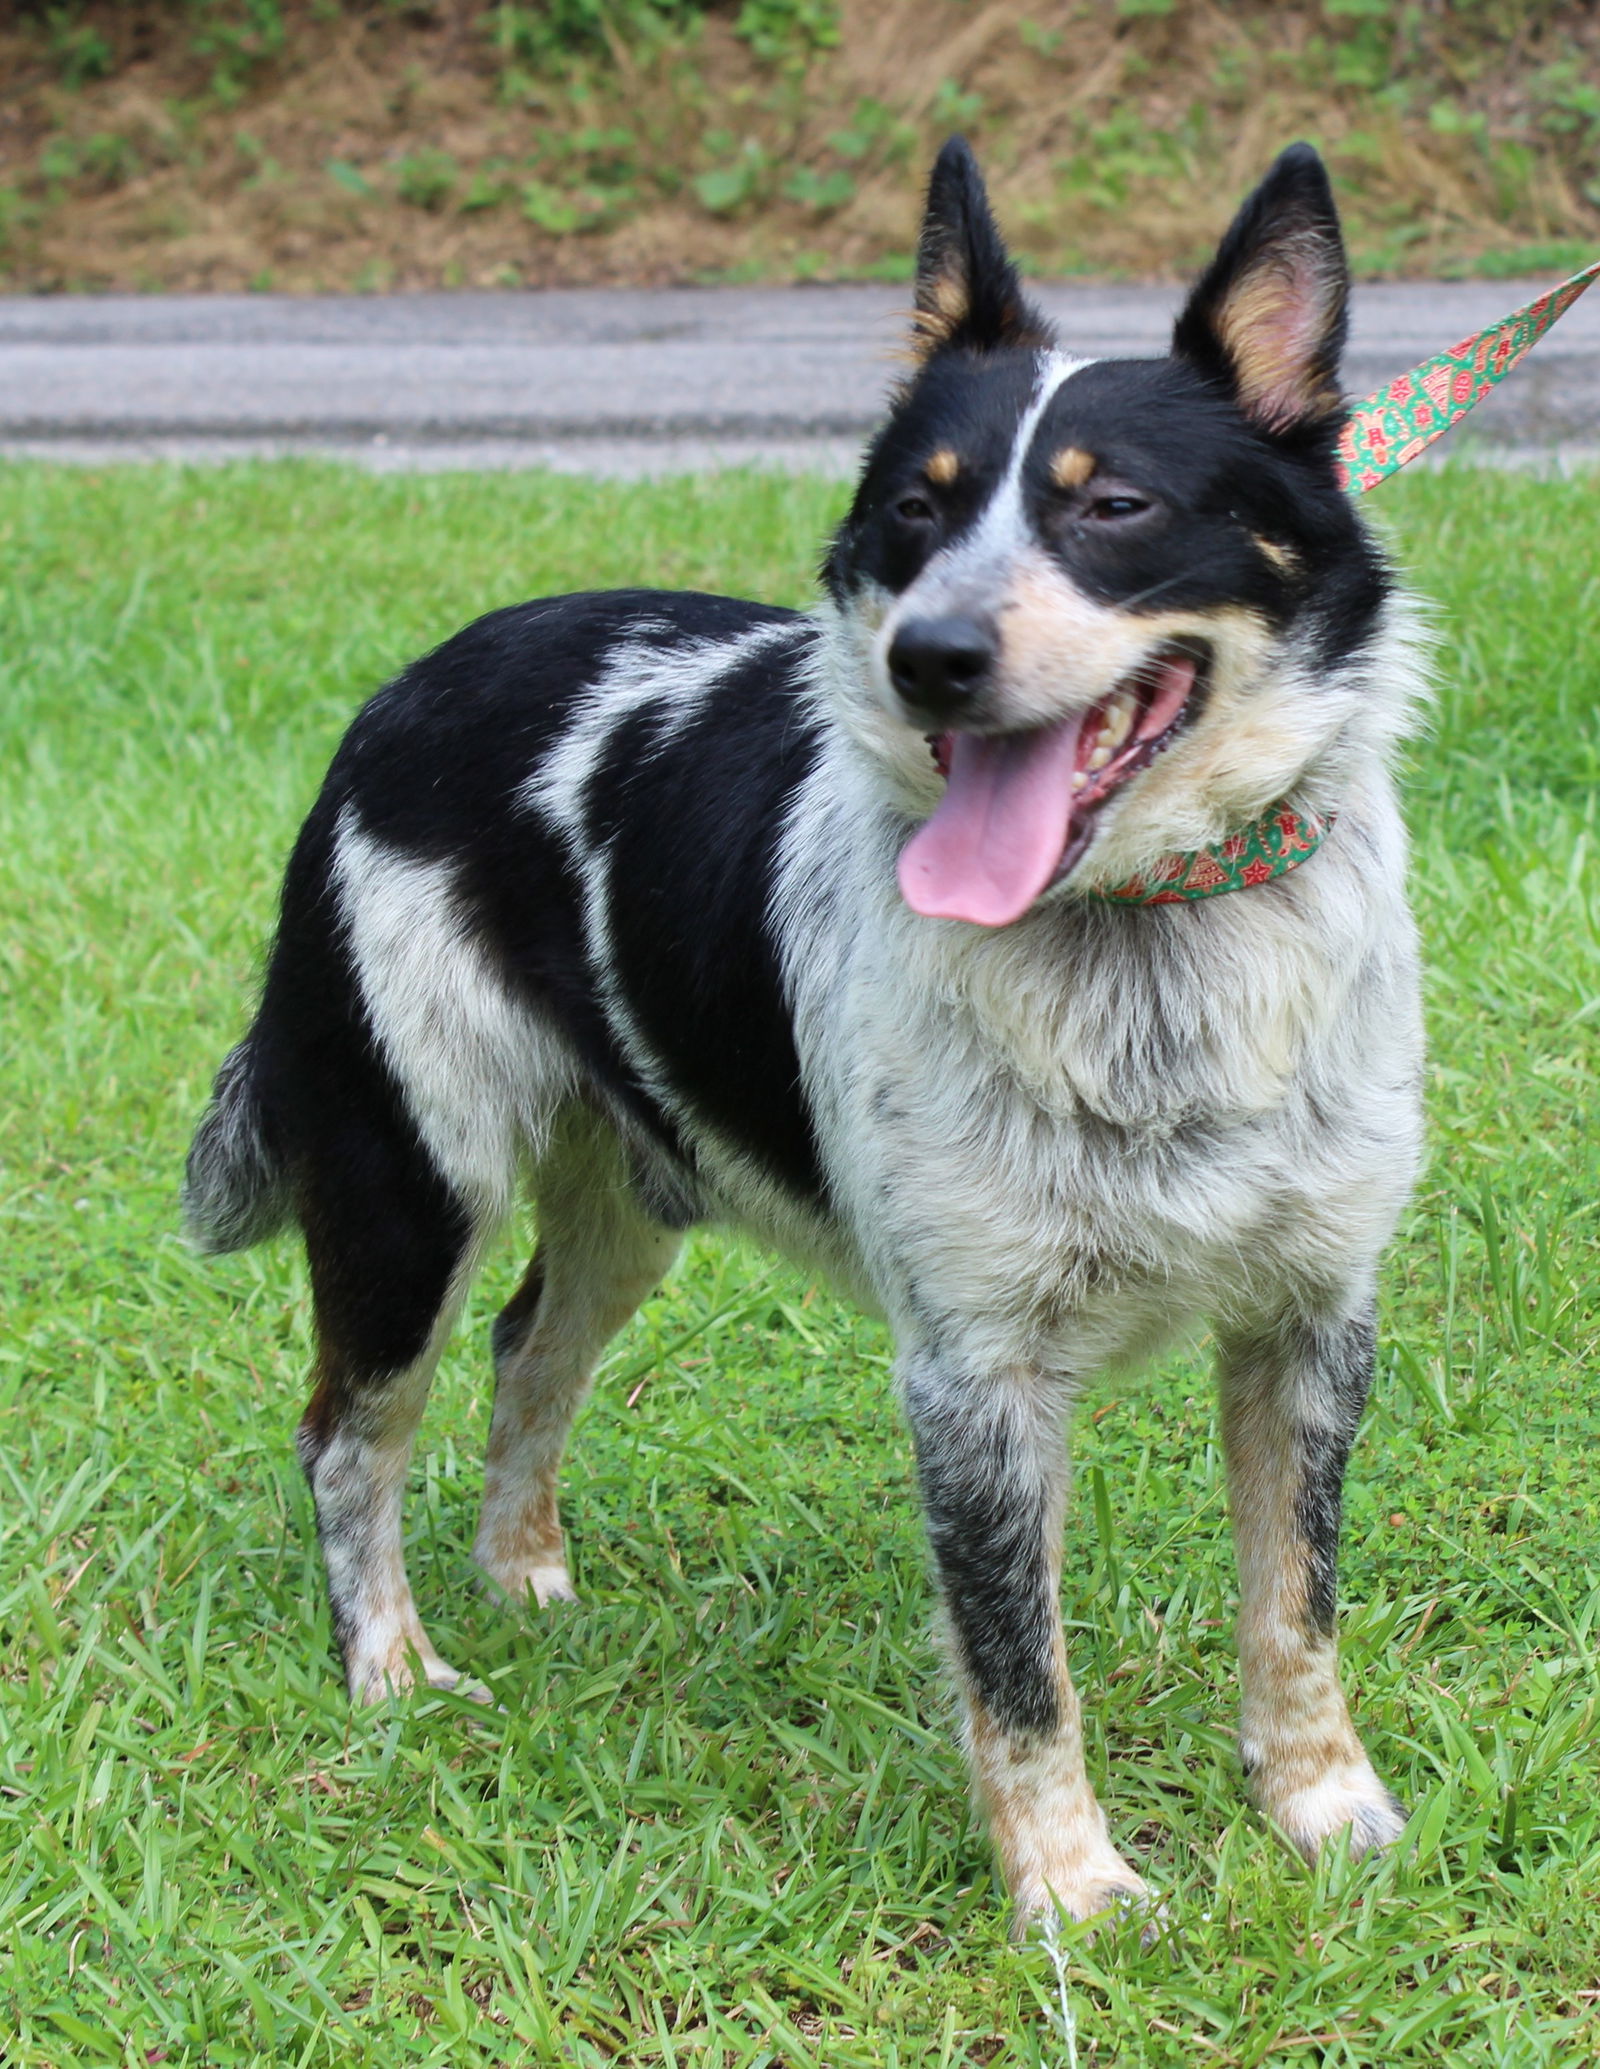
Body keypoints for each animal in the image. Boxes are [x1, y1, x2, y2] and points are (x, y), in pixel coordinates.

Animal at [184, 137, 1424, 1928]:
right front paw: (1071, 1895)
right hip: (409, 1185)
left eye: (1113, 503)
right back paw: (394, 1668)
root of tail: (403, 693)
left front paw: (1322, 1808)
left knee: (526, 1354)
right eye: (917, 506)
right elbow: (1021, 1671)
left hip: (625, 1199)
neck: (1149, 945)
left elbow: (1296, 1604)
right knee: (350, 1436)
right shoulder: (974, 1376)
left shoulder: (1312, 1318)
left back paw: (526, 1578)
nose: (932, 655)